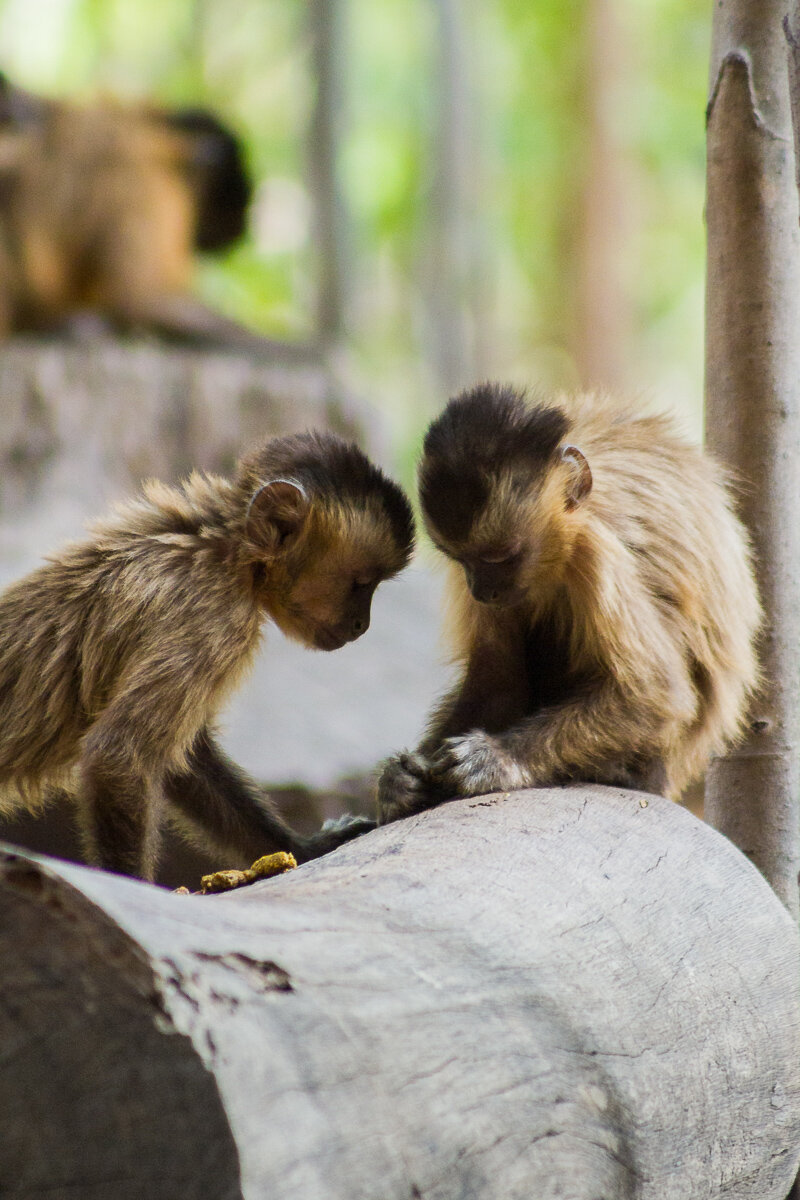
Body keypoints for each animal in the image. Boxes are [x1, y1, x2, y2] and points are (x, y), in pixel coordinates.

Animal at [0, 427, 412, 878]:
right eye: (361, 583)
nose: (362, 625)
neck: (228, 550)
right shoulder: (213, 613)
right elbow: (120, 754)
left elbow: (188, 758)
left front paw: (300, 847)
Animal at [379, 384, 762, 825]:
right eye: (463, 561)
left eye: (501, 557)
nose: (481, 591)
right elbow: (499, 686)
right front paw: (403, 779)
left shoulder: (593, 550)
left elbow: (654, 694)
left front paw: (499, 758)